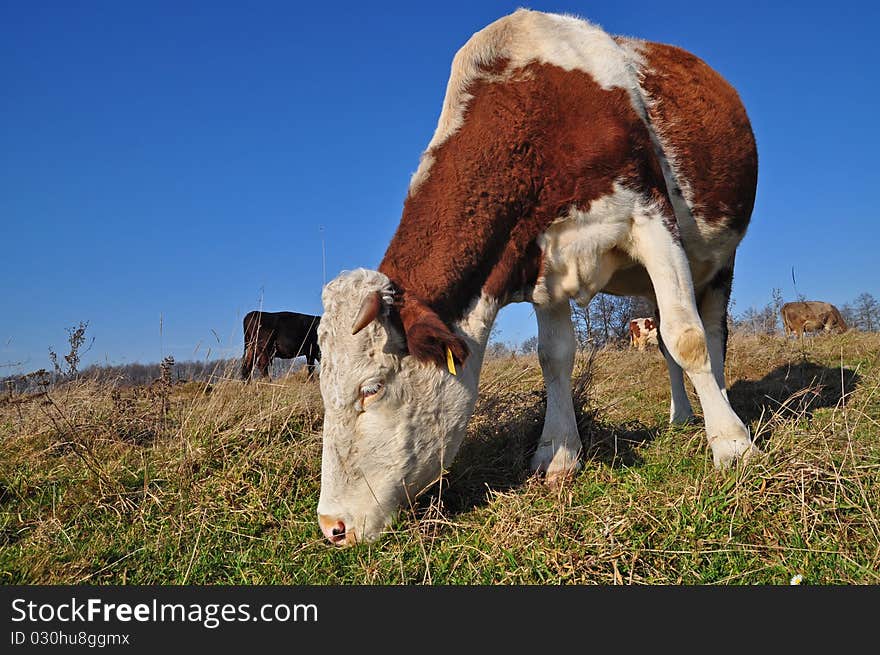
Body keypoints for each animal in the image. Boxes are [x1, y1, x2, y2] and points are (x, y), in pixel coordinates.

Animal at [314, 9, 756, 548]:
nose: (332, 525)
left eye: (372, 388)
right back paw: (680, 418)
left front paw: (733, 446)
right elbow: (556, 357)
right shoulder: (542, 258)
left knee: (710, 334)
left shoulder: (651, 219)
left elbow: (688, 339)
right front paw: (558, 454)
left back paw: (722, 411)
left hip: (716, 261)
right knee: (663, 341)